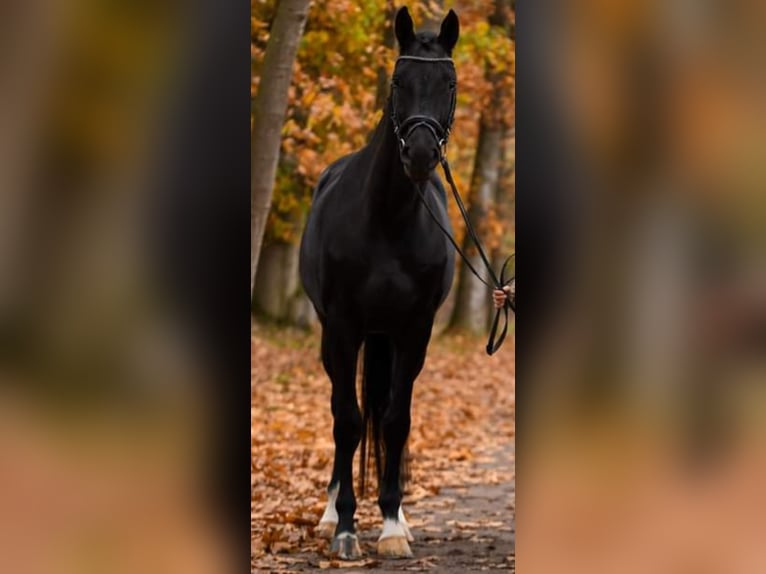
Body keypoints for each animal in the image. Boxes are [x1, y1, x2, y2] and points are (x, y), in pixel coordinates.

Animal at [298, 6, 456, 560]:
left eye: (449, 83)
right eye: (398, 80)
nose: (422, 154)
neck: (388, 218)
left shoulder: (414, 331)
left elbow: (395, 420)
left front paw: (390, 524)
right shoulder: (344, 327)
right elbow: (347, 419)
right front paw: (346, 527)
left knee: (386, 414)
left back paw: (399, 517)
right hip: (337, 337)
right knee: (341, 413)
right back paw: (330, 513)